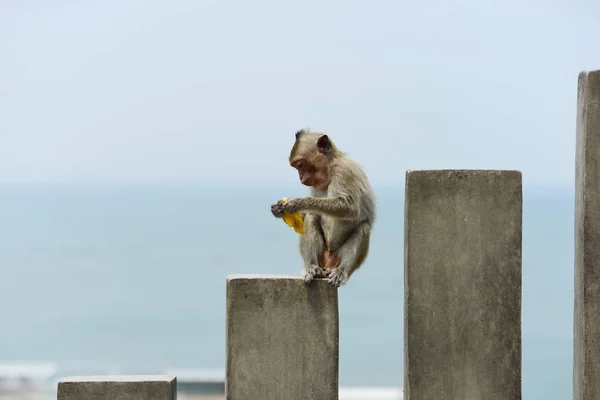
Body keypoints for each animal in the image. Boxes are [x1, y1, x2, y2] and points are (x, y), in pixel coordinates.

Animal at [270, 128, 376, 288]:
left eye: (300, 165)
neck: (330, 169)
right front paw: (277, 209)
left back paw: (341, 271)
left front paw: (298, 203)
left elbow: (349, 207)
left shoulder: (343, 172)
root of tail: (328, 262)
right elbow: (312, 214)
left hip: (339, 256)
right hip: (322, 255)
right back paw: (311, 267)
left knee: (363, 227)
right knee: (312, 217)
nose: (301, 178)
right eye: (296, 167)